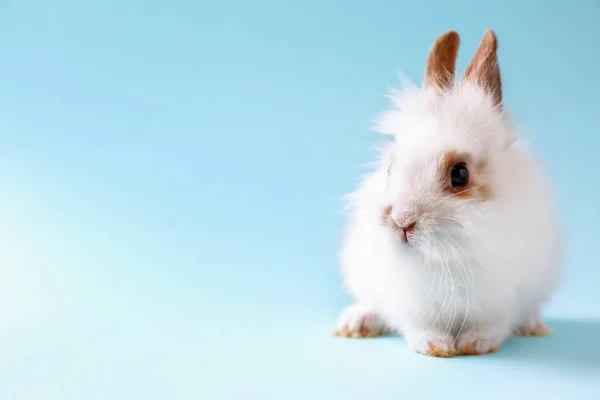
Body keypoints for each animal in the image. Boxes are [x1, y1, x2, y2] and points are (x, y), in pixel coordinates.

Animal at [332, 29, 564, 358]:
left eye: (460, 174)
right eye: (390, 167)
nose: (402, 221)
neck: (447, 260)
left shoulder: (507, 296)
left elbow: (494, 324)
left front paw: (474, 344)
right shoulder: (406, 301)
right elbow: (416, 325)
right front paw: (434, 345)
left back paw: (533, 326)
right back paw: (355, 323)